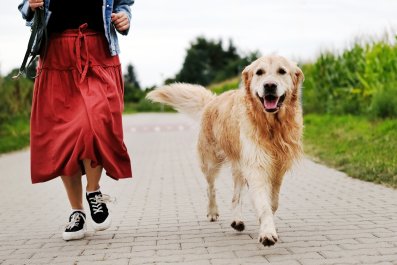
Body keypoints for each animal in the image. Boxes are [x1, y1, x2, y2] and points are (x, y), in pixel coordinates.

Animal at [146, 55, 304, 245]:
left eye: (282, 71)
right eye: (259, 72)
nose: (269, 86)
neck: (271, 125)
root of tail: (211, 101)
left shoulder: (278, 167)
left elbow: (273, 202)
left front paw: (266, 223)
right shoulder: (256, 164)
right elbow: (263, 203)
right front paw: (267, 232)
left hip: (238, 164)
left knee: (236, 195)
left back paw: (237, 221)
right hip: (211, 161)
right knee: (211, 187)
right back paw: (213, 211)